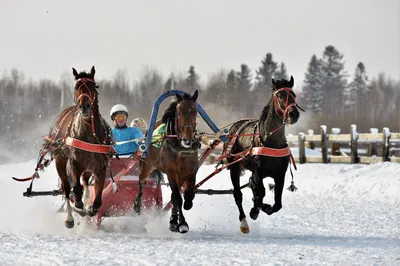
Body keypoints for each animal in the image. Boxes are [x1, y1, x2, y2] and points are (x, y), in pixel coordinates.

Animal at [41, 66, 113, 229]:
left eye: (94, 85)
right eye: (76, 87)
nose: (84, 106)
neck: (88, 134)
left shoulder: (100, 167)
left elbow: (97, 199)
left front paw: (90, 208)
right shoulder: (74, 163)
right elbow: (76, 189)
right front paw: (79, 207)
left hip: (88, 167)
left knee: (85, 183)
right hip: (61, 161)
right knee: (67, 188)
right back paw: (70, 216)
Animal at [134, 90, 200, 234]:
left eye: (195, 112)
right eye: (179, 112)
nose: (187, 140)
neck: (180, 148)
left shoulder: (190, 172)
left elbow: (187, 196)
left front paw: (176, 220)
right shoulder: (171, 172)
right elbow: (177, 198)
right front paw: (182, 223)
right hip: (146, 165)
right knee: (141, 182)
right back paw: (137, 206)